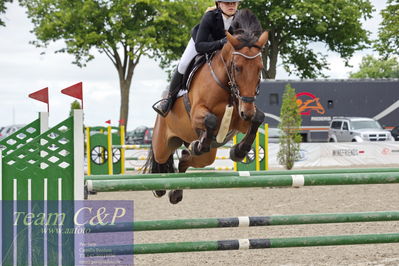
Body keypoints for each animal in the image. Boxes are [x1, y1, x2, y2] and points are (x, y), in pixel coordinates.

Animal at [144, 8, 268, 204]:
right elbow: (210, 119)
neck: (226, 85)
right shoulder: (197, 114)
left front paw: (239, 152)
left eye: (259, 68)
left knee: (185, 160)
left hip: (206, 157)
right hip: (162, 143)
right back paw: (161, 186)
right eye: (237, 67)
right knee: (161, 158)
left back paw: (176, 191)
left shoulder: (239, 121)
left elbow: (258, 119)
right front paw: (201, 143)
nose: (246, 111)